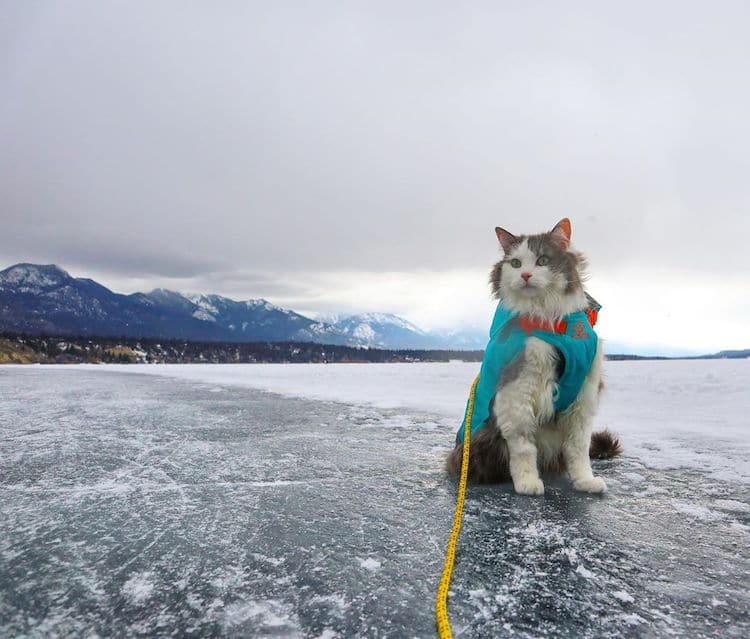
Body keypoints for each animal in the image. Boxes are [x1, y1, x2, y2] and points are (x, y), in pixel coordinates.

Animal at [446, 219, 624, 496]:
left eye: (542, 260)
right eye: (516, 263)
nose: (525, 275)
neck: (551, 320)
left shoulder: (584, 394)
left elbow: (579, 448)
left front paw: (585, 481)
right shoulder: (517, 390)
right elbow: (523, 447)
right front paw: (527, 483)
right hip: (482, 440)